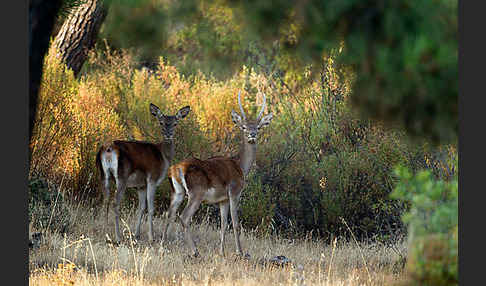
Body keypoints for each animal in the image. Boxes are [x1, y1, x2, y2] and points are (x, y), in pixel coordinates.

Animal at [96, 103, 191, 244]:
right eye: (161, 122)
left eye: (175, 123)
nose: (168, 134)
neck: (163, 157)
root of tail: (108, 149)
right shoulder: (152, 179)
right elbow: (151, 208)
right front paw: (151, 237)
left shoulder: (140, 185)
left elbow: (141, 208)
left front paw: (137, 235)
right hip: (122, 176)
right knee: (115, 203)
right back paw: (118, 237)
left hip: (103, 174)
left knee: (105, 200)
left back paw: (106, 234)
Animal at [164, 90, 274, 256]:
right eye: (243, 127)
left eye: (259, 127)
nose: (252, 134)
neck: (240, 166)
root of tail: (177, 169)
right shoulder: (234, 192)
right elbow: (235, 223)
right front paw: (239, 252)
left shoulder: (223, 199)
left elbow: (223, 224)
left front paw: (221, 251)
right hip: (196, 192)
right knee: (184, 217)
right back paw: (195, 251)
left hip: (177, 192)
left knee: (169, 213)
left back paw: (162, 244)